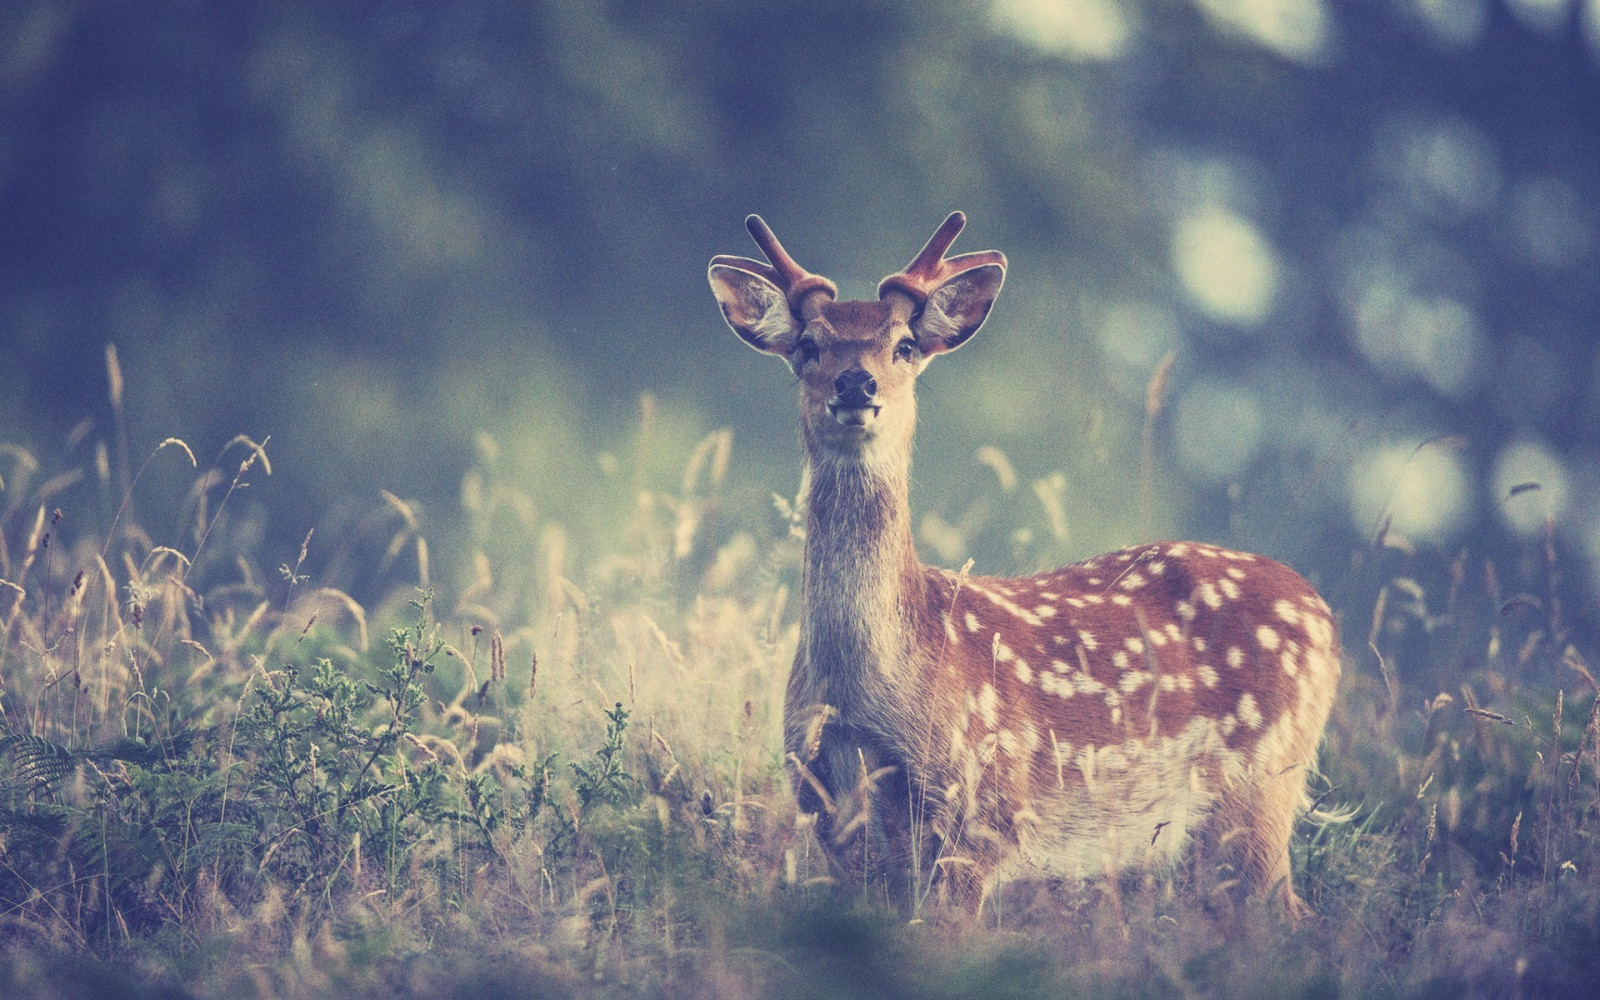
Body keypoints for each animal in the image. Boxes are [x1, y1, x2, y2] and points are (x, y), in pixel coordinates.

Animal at [707, 212, 1344, 921]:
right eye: (810, 346)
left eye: (904, 346)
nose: (855, 382)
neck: (867, 690)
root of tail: (1320, 611)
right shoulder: (830, 814)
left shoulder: (983, 810)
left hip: (1264, 780)